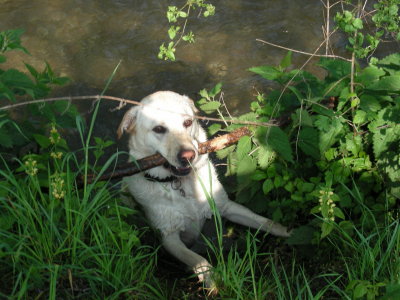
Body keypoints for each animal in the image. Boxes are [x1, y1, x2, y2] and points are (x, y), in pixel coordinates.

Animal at [118, 91, 290, 288]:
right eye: (159, 129)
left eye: (187, 122)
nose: (188, 156)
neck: (182, 185)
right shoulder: (169, 236)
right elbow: (197, 259)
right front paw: (212, 281)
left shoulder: (226, 206)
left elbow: (267, 222)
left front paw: (289, 232)